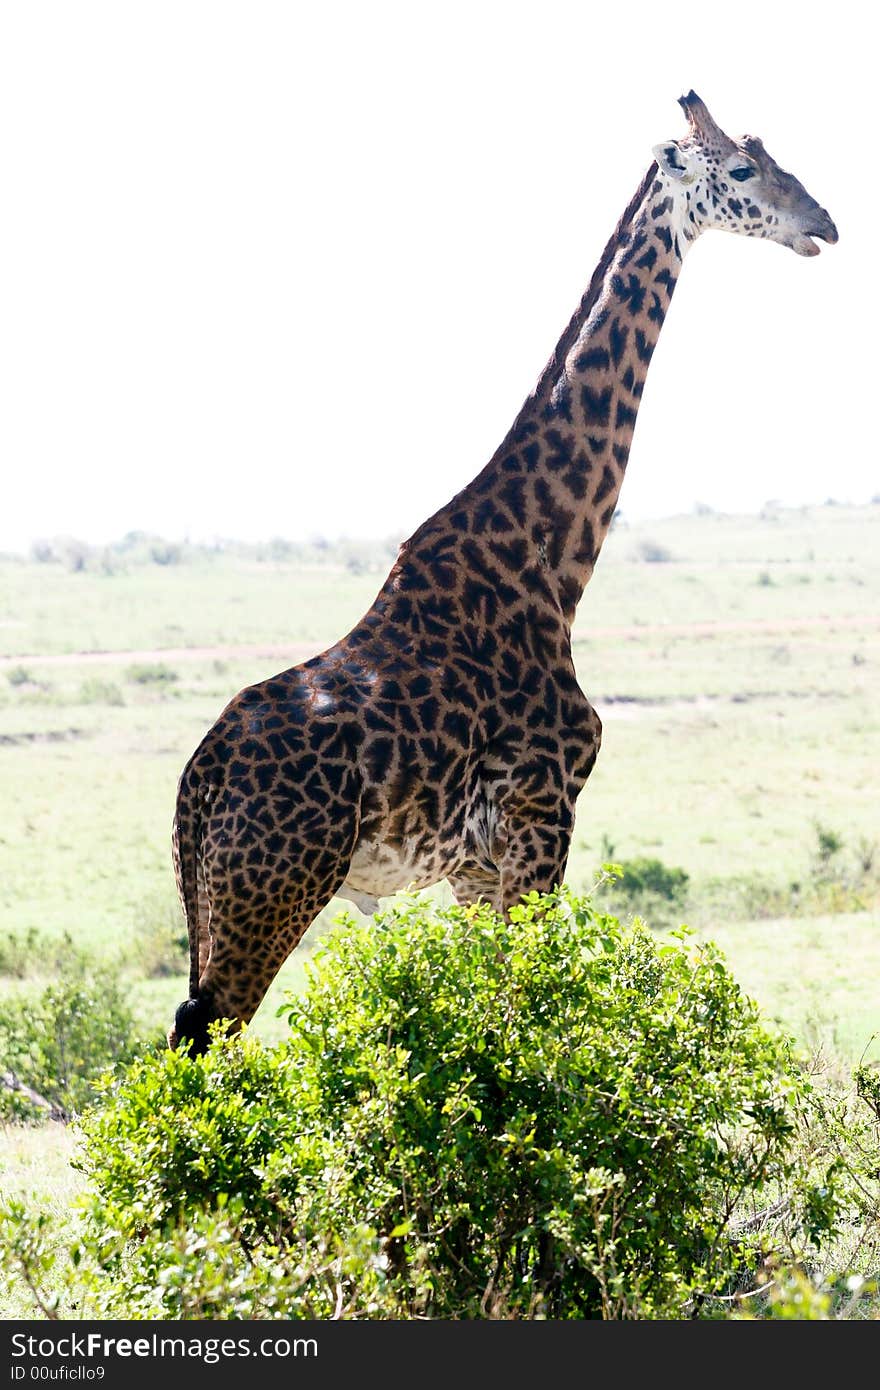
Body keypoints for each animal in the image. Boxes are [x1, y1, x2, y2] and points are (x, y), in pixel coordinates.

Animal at [168, 92, 834, 1045]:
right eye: (742, 171)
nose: (825, 223)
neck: (553, 562)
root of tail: (198, 786)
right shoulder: (541, 817)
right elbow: (532, 1016)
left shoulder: (477, 866)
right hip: (274, 891)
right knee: (198, 1039)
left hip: (216, 904)